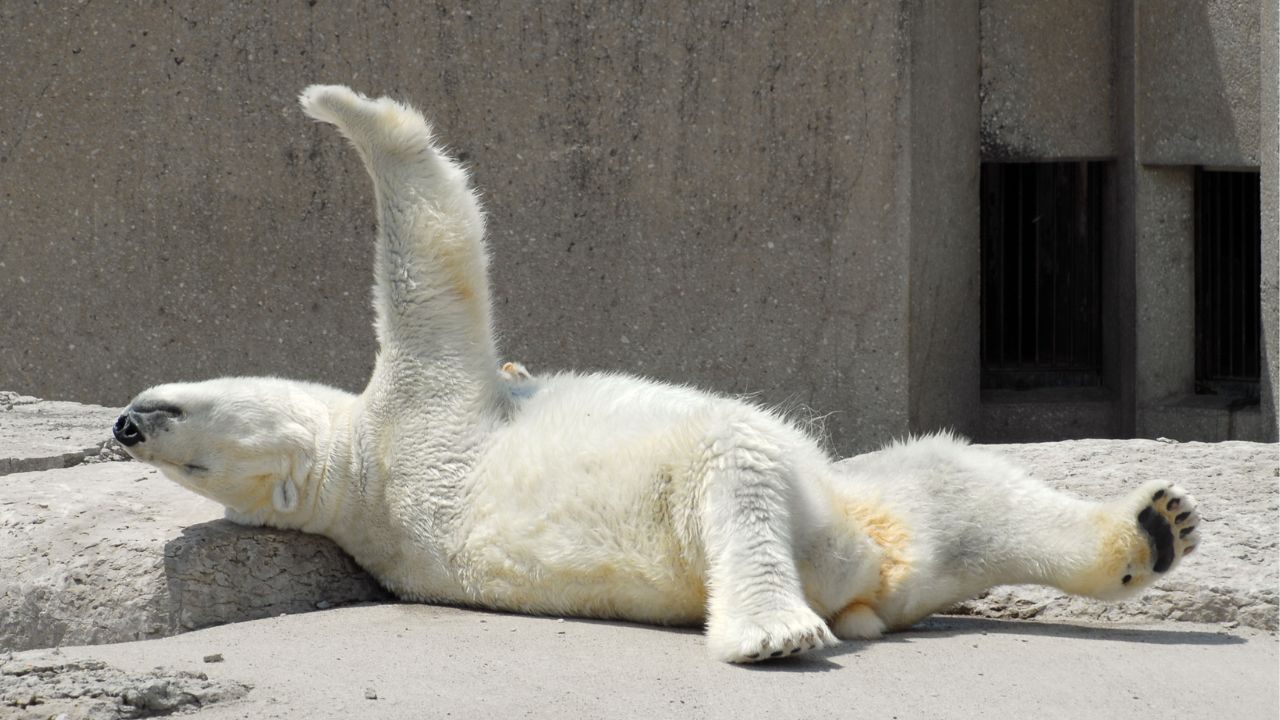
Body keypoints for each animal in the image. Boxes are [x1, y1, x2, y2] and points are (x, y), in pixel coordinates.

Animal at [112, 87, 1198, 666]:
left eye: (175, 423)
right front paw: (350, 114)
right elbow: (434, 254)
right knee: (741, 480)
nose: (124, 422)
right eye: (184, 449)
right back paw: (773, 630)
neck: (356, 475)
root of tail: (862, 583)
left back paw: (1154, 526)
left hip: (882, 524)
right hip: (723, 512)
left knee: (954, 489)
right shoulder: (419, 409)